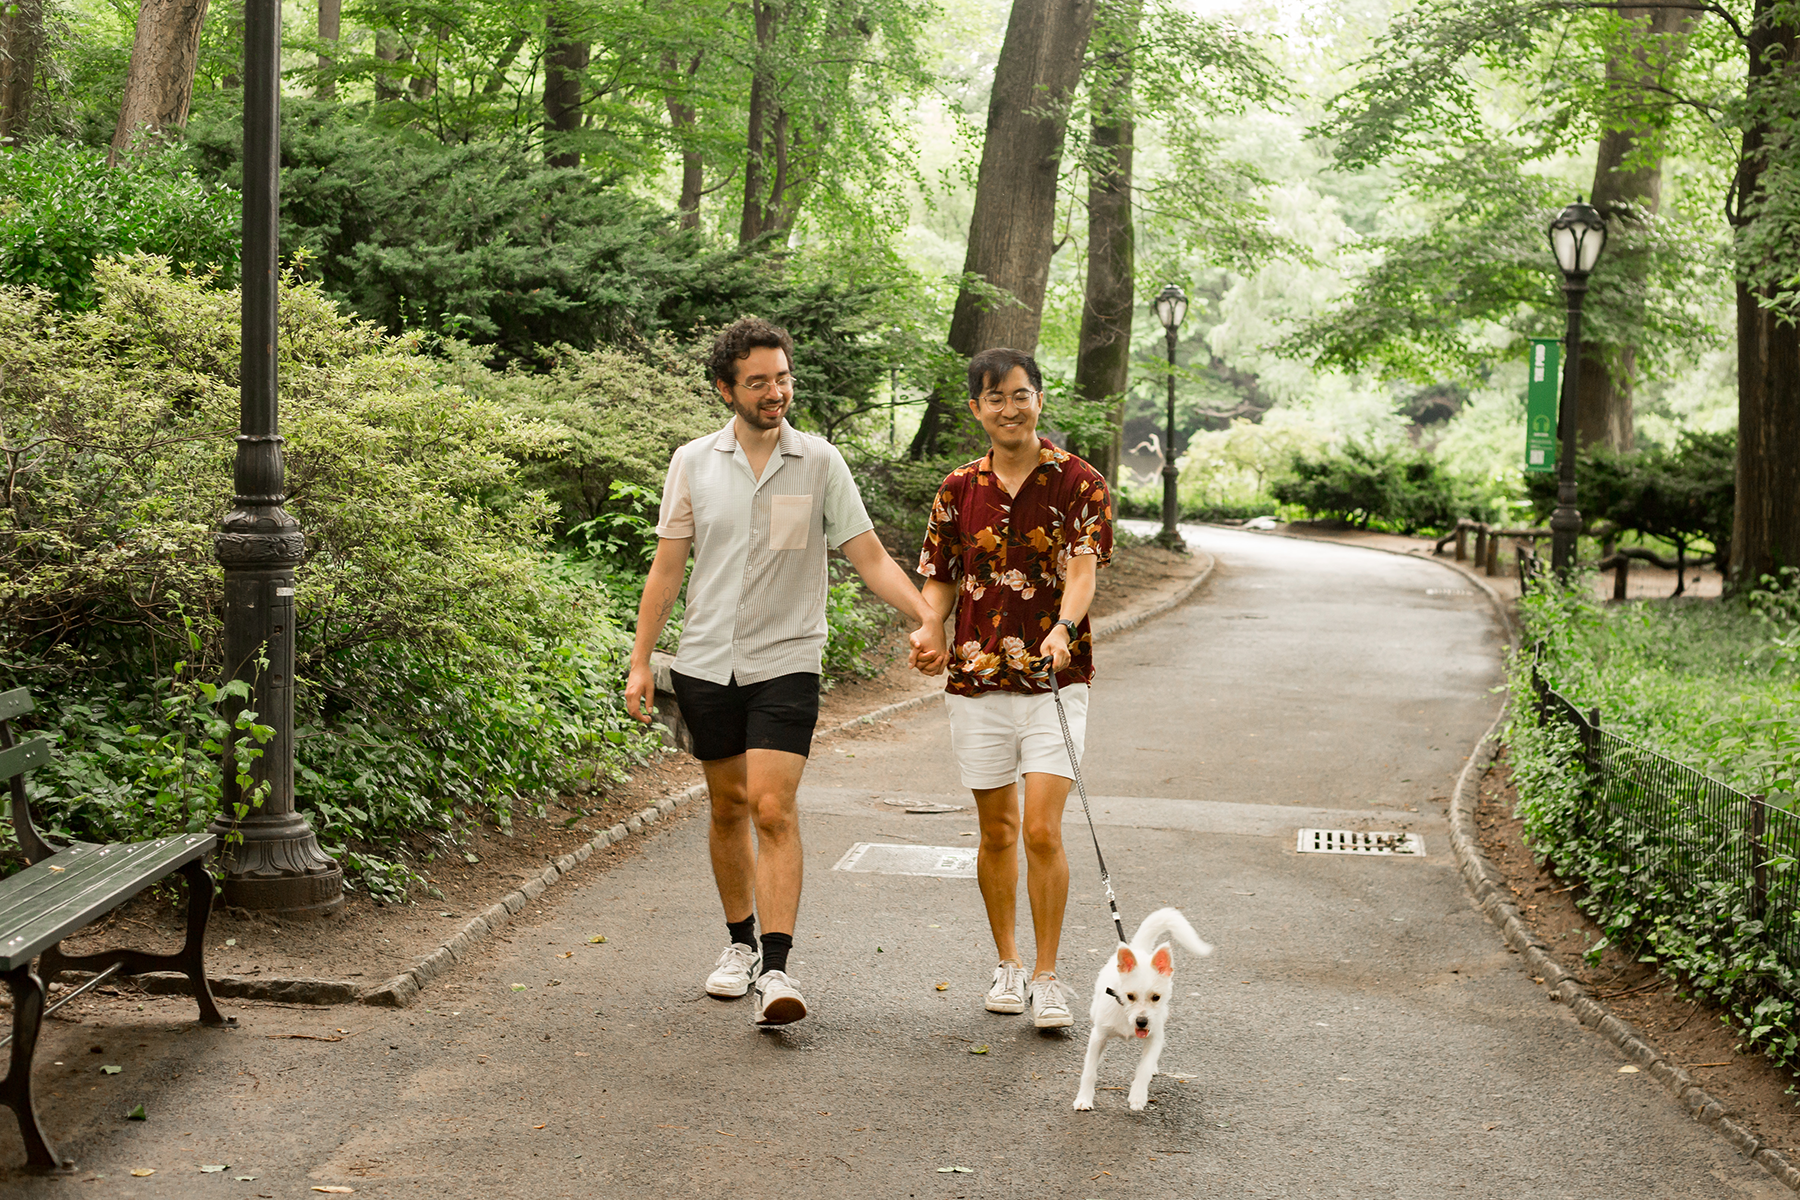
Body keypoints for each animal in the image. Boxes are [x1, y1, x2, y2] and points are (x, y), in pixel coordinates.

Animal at [1072, 910, 1216, 1115]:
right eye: (1130, 996)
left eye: (1156, 997)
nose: (1141, 1021)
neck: (1125, 1016)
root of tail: (1138, 950)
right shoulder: (1098, 1036)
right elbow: (1089, 1071)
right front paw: (1083, 1098)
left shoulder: (1154, 1037)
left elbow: (1144, 1068)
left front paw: (1138, 1096)